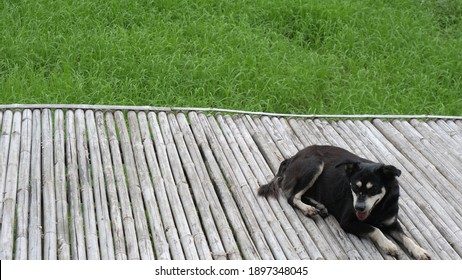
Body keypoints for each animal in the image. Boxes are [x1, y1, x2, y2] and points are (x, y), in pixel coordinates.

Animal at [258, 145, 432, 260]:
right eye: (354, 187)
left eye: (374, 189)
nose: (359, 207)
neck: (378, 209)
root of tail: (292, 157)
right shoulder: (348, 221)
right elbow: (375, 229)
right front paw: (388, 245)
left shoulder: (392, 223)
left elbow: (406, 237)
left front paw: (418, 250)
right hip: (315, 164)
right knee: (292, 197)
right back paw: (308, 209)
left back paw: (320, 206)